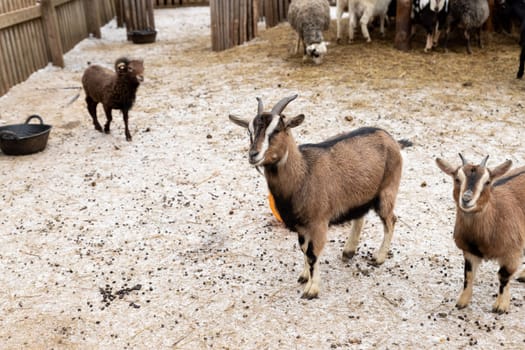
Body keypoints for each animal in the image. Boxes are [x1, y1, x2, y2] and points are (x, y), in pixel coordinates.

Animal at [436, 154, 524, 314]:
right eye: (457, 179)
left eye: (487, 182)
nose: (466, 199)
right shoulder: (470, 252)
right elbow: (468, 274)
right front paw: (462, 302)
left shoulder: (512, 252)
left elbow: (504, 276)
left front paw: (500, 306)